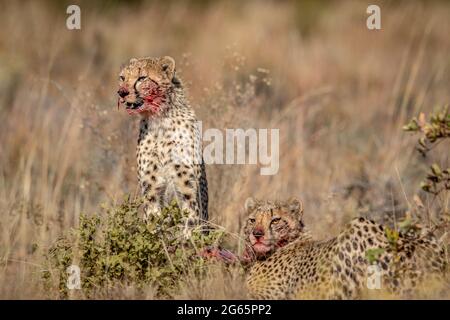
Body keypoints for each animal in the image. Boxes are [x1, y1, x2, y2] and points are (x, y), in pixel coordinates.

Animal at [116, 55, 207, 225]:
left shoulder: (187, 187)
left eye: (142, 78)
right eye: (122, 78)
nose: (121, 92)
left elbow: (190, 221)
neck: (159, 120)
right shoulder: (151, 187)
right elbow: (153, 221)